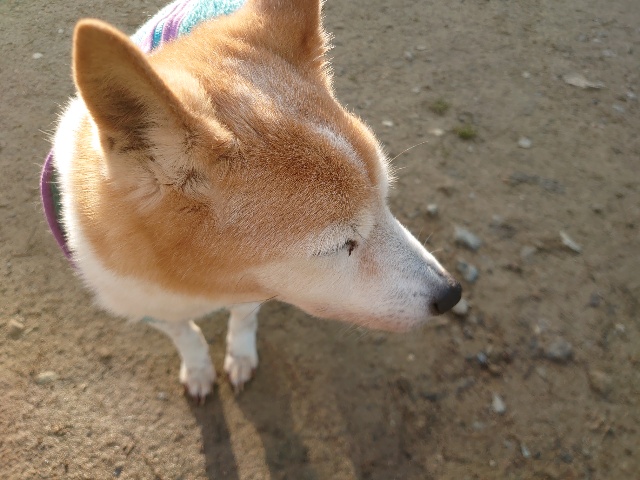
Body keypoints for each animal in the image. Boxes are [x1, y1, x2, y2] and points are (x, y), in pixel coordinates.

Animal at [43, 0, 462, 401]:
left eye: (386, 201)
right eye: (338, 246)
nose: (451, 295)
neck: (196, 284)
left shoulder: (255, 287)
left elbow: (243, 317)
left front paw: (240, 355)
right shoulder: (141, 303)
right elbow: (184, 333)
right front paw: (198, 367)